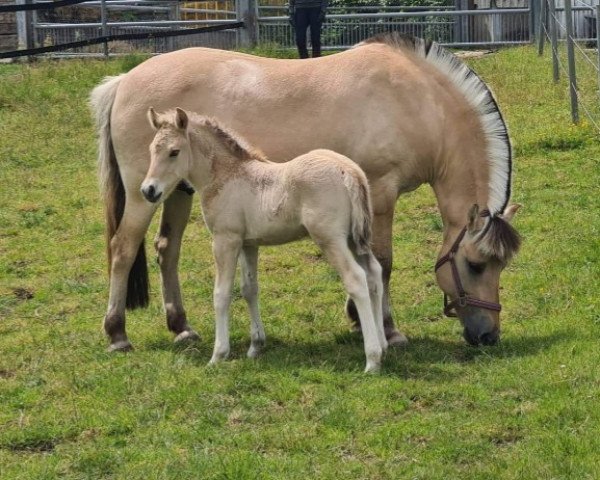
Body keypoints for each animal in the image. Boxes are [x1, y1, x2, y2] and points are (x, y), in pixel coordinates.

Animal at [141, 109, 386, 376]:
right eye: (152, 149)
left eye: (174, 152)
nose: (148, 190)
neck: (226, 176)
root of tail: (349, 171)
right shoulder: (249, 244)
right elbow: (249, 289)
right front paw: (255, 346)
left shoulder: (225, 240)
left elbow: (221, 294)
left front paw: (218, 355)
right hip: (355, 239)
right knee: (374, 274)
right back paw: (384, 345)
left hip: (331, 239)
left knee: (356, 279)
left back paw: (372, 360)